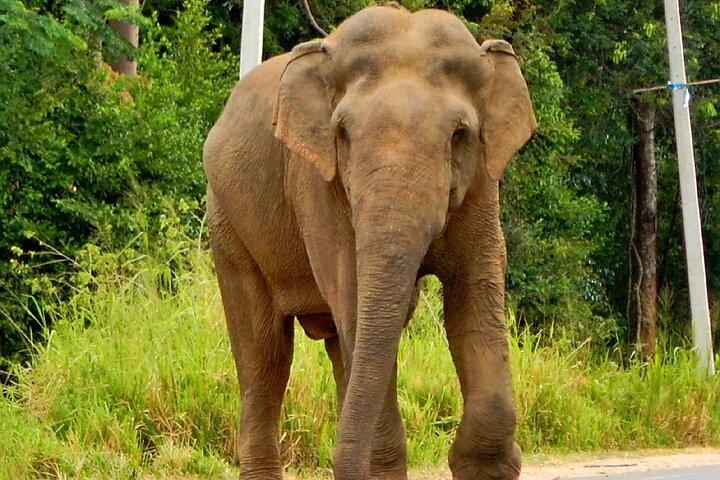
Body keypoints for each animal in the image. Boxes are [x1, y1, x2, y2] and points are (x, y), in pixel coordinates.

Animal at [203, 4, 536, 480]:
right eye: (342, 133)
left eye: (460, 135)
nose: (336, 462)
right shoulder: (316, 183)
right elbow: (355, 298)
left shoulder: (481, 183)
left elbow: (476, 292)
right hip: (228, 225)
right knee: (264, 358)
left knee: (340, 350)